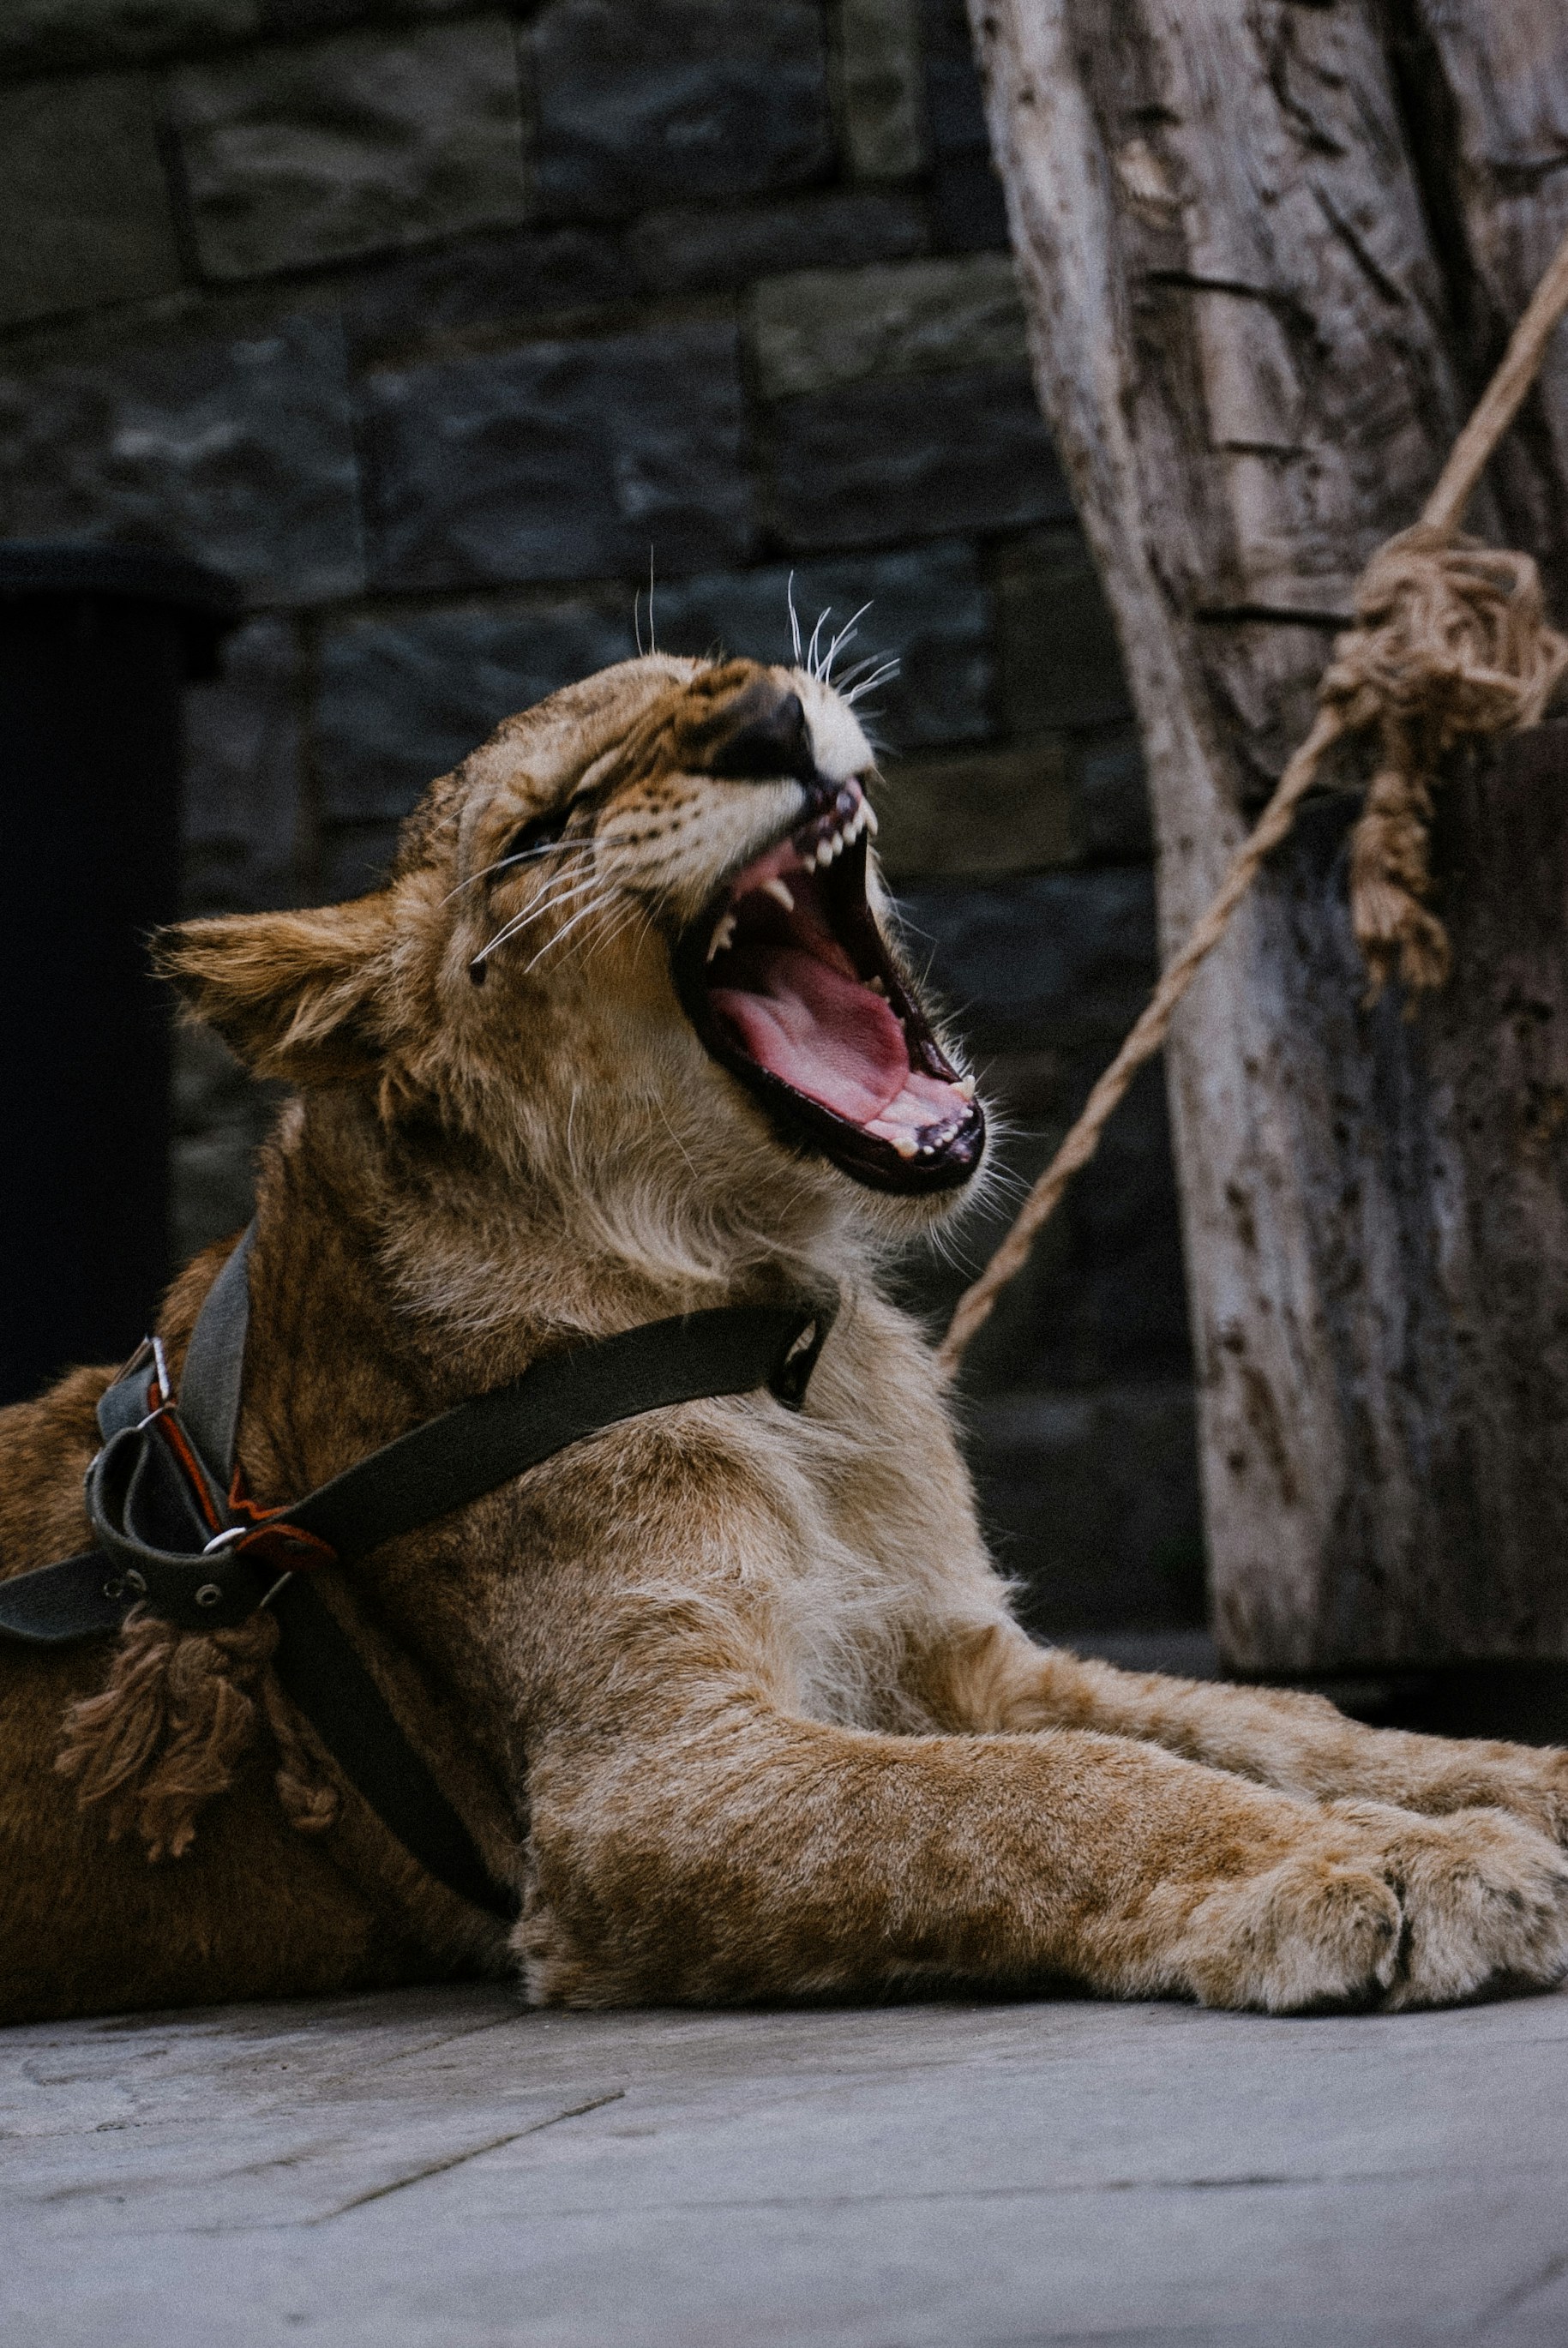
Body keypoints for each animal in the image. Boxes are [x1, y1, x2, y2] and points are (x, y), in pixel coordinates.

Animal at [4, 651, 1568, 2028]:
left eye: (706, 667)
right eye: (540, 828)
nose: (763, 711)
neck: (778, 1315)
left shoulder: (953, 1651)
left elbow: (1281, 1721)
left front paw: (1510, 1781)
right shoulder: (643, 1786)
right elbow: (1054, 1788)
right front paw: (1376, 1861)